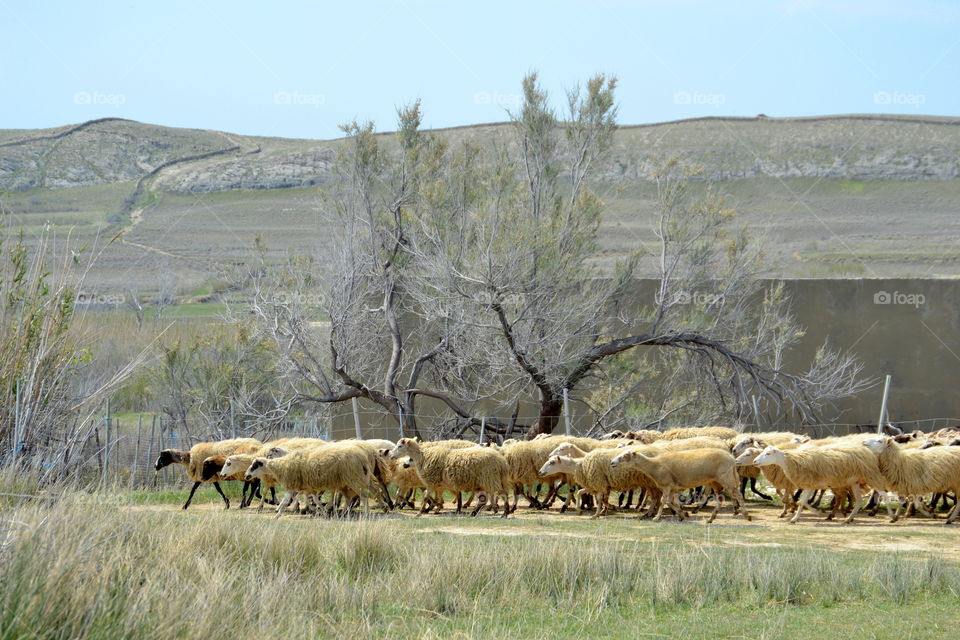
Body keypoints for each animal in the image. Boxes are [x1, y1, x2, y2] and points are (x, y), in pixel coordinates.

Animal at [244, 442, 379, 519]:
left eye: (255, 465)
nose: (246, 476)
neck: (282, 464)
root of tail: (362, 457)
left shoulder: (294, 485)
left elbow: (288, 501)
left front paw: (278, 515)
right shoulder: (307, 486)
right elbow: (313, 499)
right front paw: (319, 511)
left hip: (353, 479)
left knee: (363, 496)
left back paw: (365, 514)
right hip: (356, 479)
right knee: (359, 495)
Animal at [610, 448, 751, 523]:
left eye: (625, 455)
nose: (612, 463)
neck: (654, 465)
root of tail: (732, 459)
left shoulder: (667, 486)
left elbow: (663, 501)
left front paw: (656, 517)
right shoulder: (672, 487)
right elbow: (672, 502)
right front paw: (681, 515)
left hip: (726, 478)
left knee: (738, 495)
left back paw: (746, 516)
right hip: (715, 482)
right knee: (720, 499)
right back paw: (711, 519)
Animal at [751, 444, 883, 524]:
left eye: (768, 454)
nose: (754, 461)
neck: (791, 461)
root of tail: (867, 452)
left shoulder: (809, 483)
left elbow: (801, 502)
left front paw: (794, 518)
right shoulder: (809, 485)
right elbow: (802, 502)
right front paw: (817, 511)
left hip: (870, 476)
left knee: (883, 495)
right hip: (854, 482)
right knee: (858, 500)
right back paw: (848, 518)